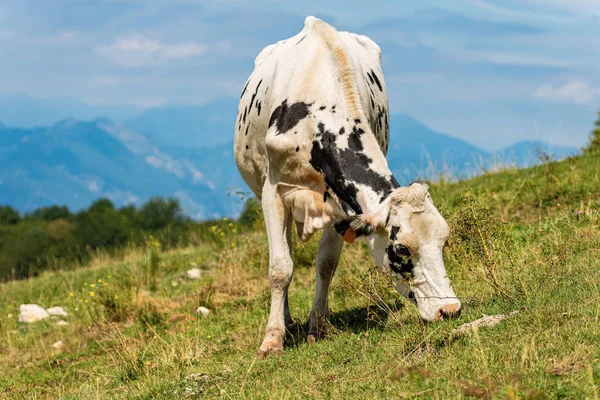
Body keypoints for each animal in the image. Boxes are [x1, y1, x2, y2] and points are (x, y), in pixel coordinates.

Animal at [233, 15, 460, 356]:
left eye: (444, 242)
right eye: (402, 248)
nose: (450, 309)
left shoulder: (341, 201)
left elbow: (326, 262)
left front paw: (317, 326)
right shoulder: (273, 191)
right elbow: (280, 267)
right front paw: (272, 339)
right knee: (284, 250)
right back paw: (284, 320)